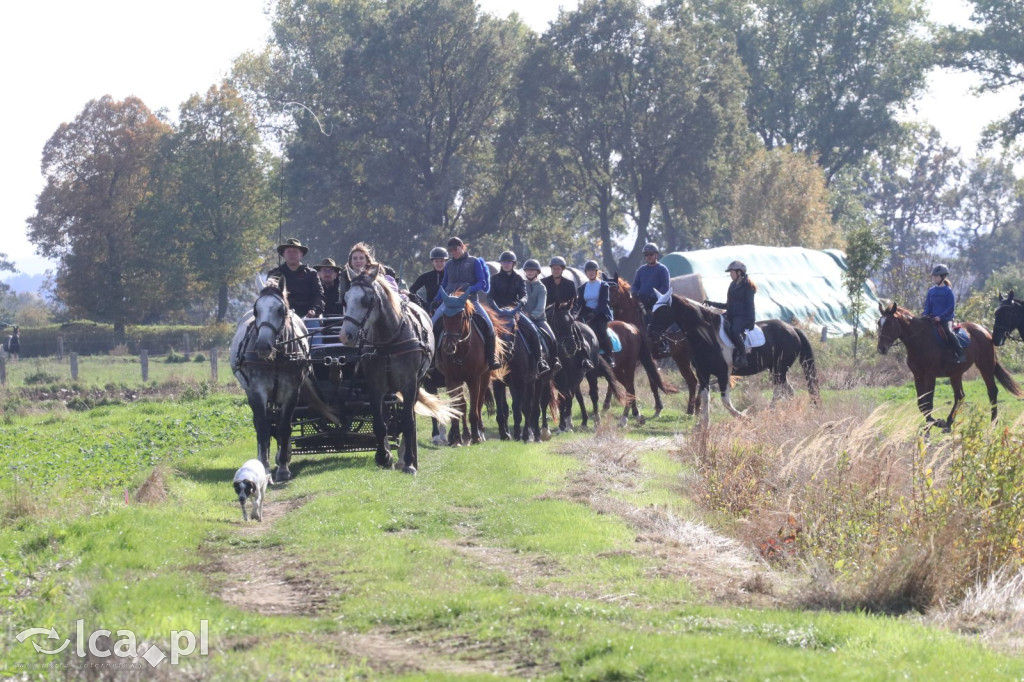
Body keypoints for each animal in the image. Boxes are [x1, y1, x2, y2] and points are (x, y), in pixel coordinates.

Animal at [230, 278, 309, 481]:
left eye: (281, 310)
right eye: (256, 310)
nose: (263, 346)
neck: (276, 358)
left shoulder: (291, 392)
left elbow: (284, 428)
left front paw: (283, 468)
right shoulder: (258, 392)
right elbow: (264, 428)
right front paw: (265, 467)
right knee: (261, 424)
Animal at [337, 266, 454, 473]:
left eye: (366, 300)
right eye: (346, 298)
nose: (345, 335)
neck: (389, 341)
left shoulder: (409, 384)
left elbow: (407, 421)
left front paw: (409, 462)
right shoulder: (375, 386)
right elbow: (379, 424)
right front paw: (383, 456)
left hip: (417, 383)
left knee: (409, 417)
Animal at [434, 288, 509, 444]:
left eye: (461, 316)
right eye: (444, 316)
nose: (448, 346)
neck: (462, 350)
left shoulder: (473, 379)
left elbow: (474, 408)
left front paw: (475, 436)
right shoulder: (451, 379)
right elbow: (458, 406)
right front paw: (457, 438)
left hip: (485, 376)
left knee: (479, 402)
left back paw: (479, 432)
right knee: (464, 404)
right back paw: (465, 434)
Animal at [651, 288, 819, 421]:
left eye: (662, 310)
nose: (650, 332)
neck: (707, 336)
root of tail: (792, 329)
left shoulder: (723, 374)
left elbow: (725, 401)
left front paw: (743, 417)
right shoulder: (703, 374)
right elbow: (706, 399)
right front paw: (703, 426)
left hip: (779, 369)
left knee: (779, 391)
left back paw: (770, 412)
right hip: (776, 369)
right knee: (788, 390)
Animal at [872, 301, 1024, 428]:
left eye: (890, 324)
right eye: (879, 323)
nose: (881, 349)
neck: (919, 340)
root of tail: (984, 330)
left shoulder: (930, 376)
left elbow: (928, 402)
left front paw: (934, 422)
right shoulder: (918, 376)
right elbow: (922, 404)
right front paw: (934, 422)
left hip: (985, 366)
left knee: (992, 391)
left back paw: (993, 422)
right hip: (956, 374)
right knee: (960, 396)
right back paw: (949, 422)